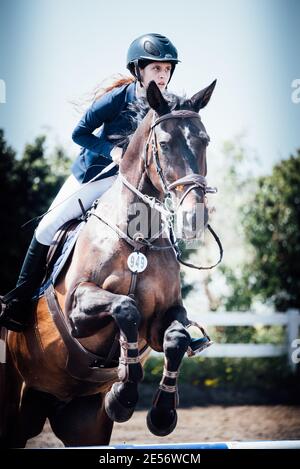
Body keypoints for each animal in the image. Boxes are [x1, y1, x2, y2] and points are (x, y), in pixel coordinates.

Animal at [1, 79, 218, 446]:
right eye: (164, 144)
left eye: (205, 140)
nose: (194, 218)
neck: (137, 239)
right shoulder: (76, 309)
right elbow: (125, 307)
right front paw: (123, 395)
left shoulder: (163, 317)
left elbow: (176, 338)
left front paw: (161, 414)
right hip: (15, 405)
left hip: (84, 423)